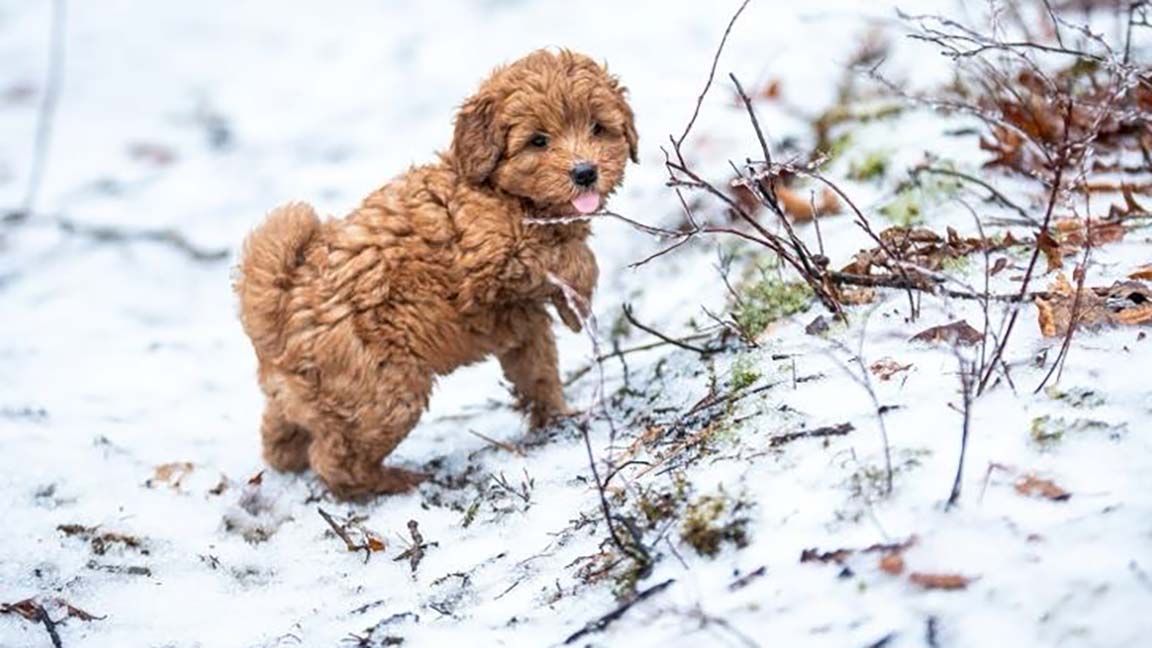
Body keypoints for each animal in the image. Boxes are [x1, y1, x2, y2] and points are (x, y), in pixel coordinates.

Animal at [233, 49, 640, 500]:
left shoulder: (524, 323)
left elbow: (537, 369)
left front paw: (555, 417)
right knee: (338, 461)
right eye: (538, 140)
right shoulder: (489, 259)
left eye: (598, 127)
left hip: (309, 394)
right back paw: (397, 482)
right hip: (384, 393)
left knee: (281, 435)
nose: (585, 172)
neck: (500, 193)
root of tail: (281, 303)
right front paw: (578, 301)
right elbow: (563, 257)